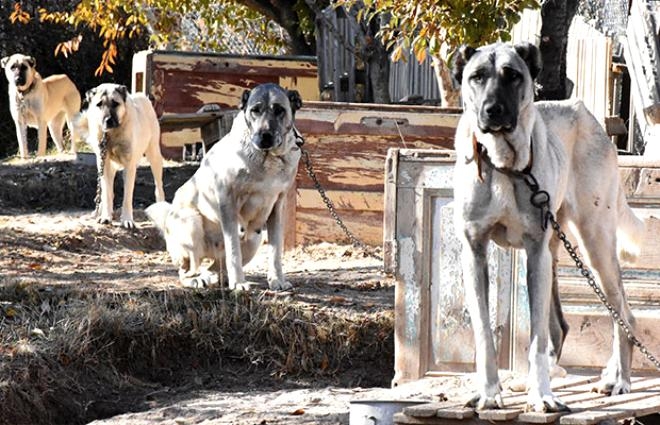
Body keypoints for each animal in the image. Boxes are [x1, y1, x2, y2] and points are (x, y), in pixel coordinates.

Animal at [77, 83, 165, 229]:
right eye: (99, 104)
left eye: (115, 103)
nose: (108, 121)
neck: (112, 134)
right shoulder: (104, 163)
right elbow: (107, 193)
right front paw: (105, 216)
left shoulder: (129, 166)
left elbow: (127, 196)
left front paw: (127, 220)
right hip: (107, 166)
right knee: (107, 191)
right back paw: (101, 211)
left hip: (154, 156)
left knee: (159, 186)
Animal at [146, 83, 302, 291]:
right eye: (255, 110)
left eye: (279, 110)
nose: (265, 136)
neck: (268, 159)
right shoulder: (228, 201)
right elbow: (233, 249)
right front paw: (239, 283)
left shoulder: (277, 207)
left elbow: (275, 251)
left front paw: (277, 280)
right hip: (191, 222)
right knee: (188, 270)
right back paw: (199, 280)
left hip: (255, 238)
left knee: (215, 266)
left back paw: (219, 278)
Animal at [451, 42, 644, 413]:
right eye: (476, 76)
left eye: (512, 75)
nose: (492, 110)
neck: (504, 166)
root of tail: (583, 111)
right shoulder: (474, 253)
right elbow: (484, 334)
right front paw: (489, 392)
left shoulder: (536, 252)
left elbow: (537, 339)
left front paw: (541, 396)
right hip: (556, 253)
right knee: (561, 326)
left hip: (594, 246)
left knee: (623, 314)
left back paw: (619, 379)